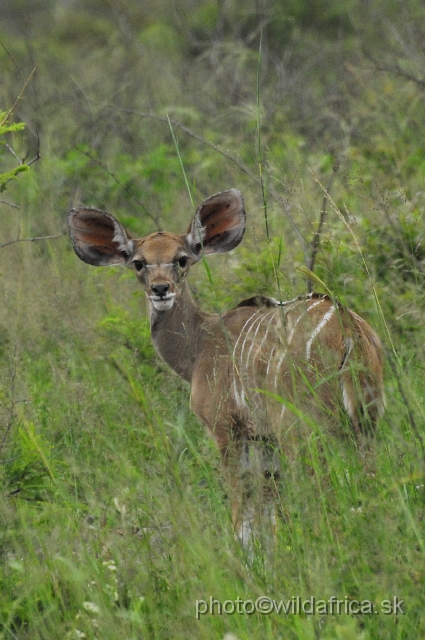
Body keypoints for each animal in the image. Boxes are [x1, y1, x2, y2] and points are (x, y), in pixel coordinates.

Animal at [68, 189, 382, 552]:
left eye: (181, 258)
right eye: (138, 262)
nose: (161, 289)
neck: (198, 347)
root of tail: (350, 332)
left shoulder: (226, 428)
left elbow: (241, 507)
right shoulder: (263, 439)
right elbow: (267, 508)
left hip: (302, 426)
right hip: (365, 419)